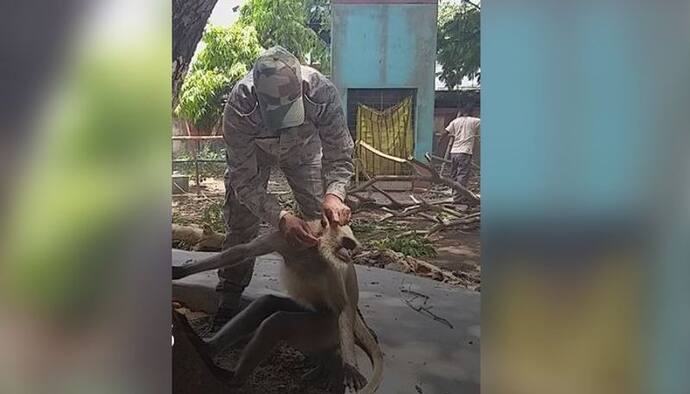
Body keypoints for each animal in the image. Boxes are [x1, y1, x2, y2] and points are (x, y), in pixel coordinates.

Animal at [172, 222, 382, 394]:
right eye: (346, 243)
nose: (349, 254)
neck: (310, 251)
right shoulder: (284, 239)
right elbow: (241, 252)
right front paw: (180, 271)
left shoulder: (333, 265)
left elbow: (343, 308)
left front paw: (350, 368)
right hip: (314, 315)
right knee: (266, 303)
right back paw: (207, 348)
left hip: (326, 326)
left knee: (278, 322)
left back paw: (233, 379)